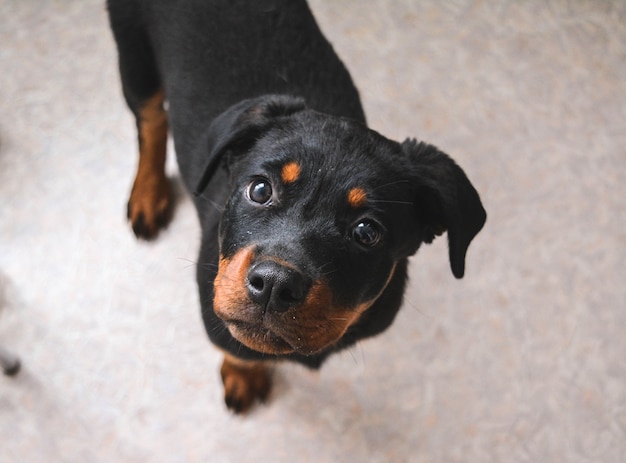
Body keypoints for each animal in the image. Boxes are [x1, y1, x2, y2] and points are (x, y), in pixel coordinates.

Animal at [108, 0, 488, 414]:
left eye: (367, 232)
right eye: (260, 189)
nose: (274, 284)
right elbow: (239, 347)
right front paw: (243, 375)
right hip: (133, 51)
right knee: (150, 118)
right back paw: (147, 193)